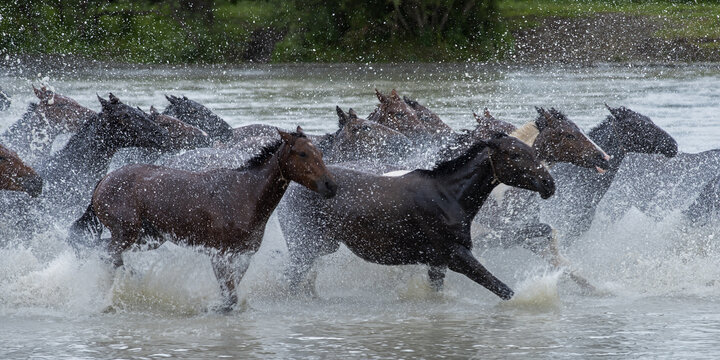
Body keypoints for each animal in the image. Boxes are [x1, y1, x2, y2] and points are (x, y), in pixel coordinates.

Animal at [71, 128, 336, 310]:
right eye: (302, 153)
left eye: (320, 152)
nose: (330, 186)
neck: (245, 195)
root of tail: (103, 182)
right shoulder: (220, 255)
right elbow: (229, 299)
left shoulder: (243, 256)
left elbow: (231, 296)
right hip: (127, 232)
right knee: (107, 255)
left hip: (148, 237)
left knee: (104, 252)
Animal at [278, 134, 556, 300]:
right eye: (516, 155)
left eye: (533, 152)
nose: (548, 184)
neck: (449, 196)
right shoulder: (456, 255)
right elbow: (503, 289)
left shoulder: (437, 263)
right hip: (305, 247)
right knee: (291, 280)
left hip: (320, 247)